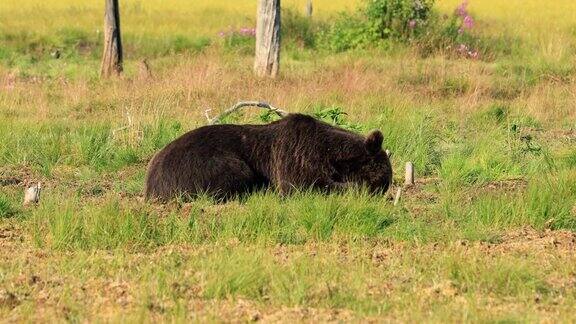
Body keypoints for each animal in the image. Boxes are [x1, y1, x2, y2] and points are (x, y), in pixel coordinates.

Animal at [146, 112, 394, 201]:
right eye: (383, 181)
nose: (382, 191)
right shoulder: (297, 155)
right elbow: (304, 184)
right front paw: (355, 188)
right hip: (205, 164)